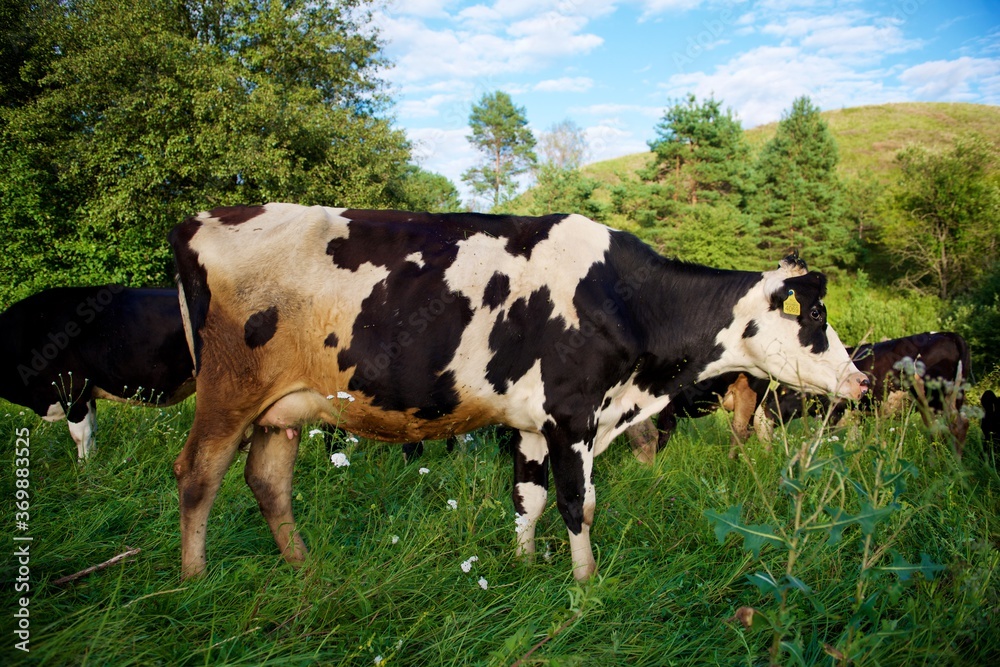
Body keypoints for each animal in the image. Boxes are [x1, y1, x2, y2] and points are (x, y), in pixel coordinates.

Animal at [0, 284, 197, 462]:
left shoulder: (73, 389)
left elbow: (80, 435)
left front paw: (83, 468)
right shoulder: (88, 393)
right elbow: (92, 430)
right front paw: (94, 463)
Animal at [172, 202, 868, 580]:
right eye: (813, 317)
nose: (859, 379)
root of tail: (202, 219)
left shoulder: (534, 424)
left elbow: (526, 501)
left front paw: (526, 566)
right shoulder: (573, 416)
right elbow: (577, 504)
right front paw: (584, 584)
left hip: (280, 408)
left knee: (267, 480)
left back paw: (303, 567)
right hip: (228, 393)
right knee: (198, 474)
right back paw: (195, 577)